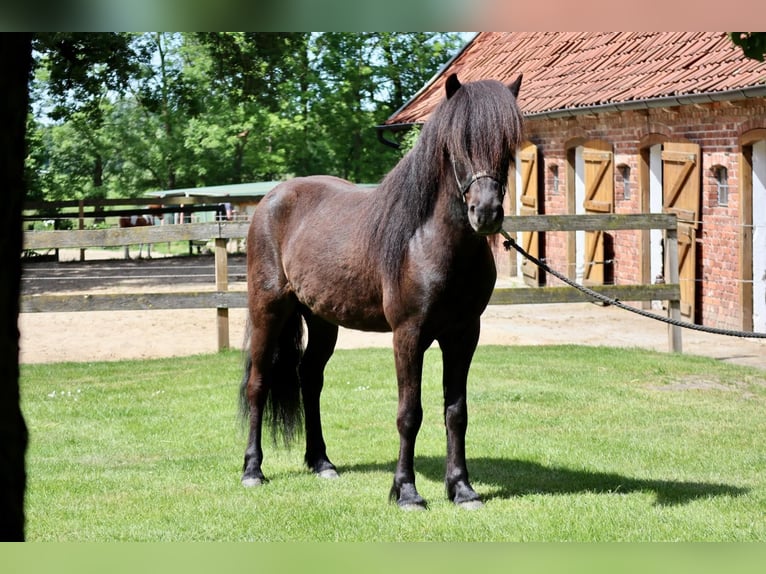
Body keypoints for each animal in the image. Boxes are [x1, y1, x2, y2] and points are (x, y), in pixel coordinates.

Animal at [243, 74, 524, 510]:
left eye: (508, 144)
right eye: (458, 143)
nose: (487, 213)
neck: (427, 241)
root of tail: (271, 199)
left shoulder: (463, 335)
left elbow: (456, 412)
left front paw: (461, 489)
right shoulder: (407, 335)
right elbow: (410, 414)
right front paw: (406, 491)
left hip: (321, 320)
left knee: (310, 379)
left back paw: (322, 463)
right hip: (268, 310)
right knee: (259, 383)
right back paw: (253, 470)